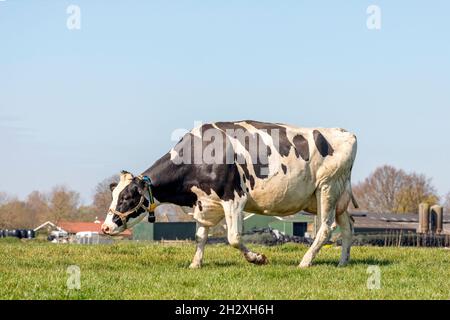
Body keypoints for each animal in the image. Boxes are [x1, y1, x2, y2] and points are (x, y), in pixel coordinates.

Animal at [102, 120, 358, 268]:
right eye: (115, 196)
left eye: (127, 198)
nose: (105, 228)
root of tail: (345, 133)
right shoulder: (204, 202)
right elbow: (200, 236)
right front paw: (195, 264)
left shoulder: (233, 198)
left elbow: (233, 237)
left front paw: (257, 258)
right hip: (336, 197)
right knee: (348, 227)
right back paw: (342, 263)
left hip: (327, 188)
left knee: (325, 228)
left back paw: (305, 262)